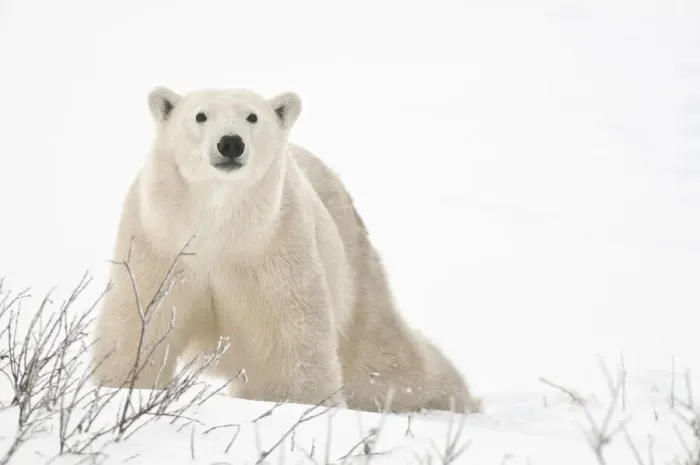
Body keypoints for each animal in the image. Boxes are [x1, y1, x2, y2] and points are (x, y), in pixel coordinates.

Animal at [89, 86, 482, 415]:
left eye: (252, 116)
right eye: (200, 116)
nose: (230, 143)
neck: (219, 226)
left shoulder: (273, 246)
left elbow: (289, 338)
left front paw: (298, 404)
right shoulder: (160, 243)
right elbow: (139, 321)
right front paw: (120, 388)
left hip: (353, 261)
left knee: (381, 357)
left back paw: (454, 398)